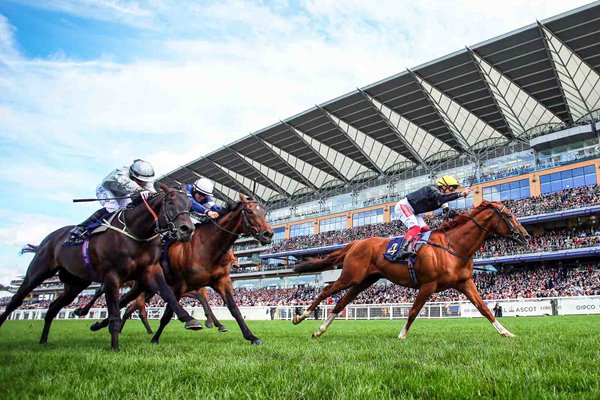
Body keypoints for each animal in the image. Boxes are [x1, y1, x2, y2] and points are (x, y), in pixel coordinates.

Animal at [0, 184, 202, 350]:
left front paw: (190, 319)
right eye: (170, 202)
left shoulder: (151, 271)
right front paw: (115, 347)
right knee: (15, 302)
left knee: (52, 307)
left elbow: (168, 294)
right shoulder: (112, 277)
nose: (187, 229)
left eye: (189, 206)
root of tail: (50, 238)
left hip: (75, 284)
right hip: (38, 272)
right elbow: (114, 312)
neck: (136, 233)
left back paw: (43, 341)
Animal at [91, 194, 274, 344]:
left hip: (145, 287)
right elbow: (167, 315)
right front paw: (156, 339)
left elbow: (234, 309)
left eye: (265, 213)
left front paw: (251, 336)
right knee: (124, 303)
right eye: (249, 212)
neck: (207, 247)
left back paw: (101, 325)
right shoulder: (180, 285)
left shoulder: (220, 281)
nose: (268, 234)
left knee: (126, 304)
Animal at [290, 202, 528, 340]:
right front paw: (402, 335)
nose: (525, 236)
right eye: (508, 215)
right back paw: (300, 316)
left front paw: (506, 332)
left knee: (340, 303)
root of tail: (356, 243)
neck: (452, 246)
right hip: (351, 276)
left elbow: (485, 309)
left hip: (363, 281)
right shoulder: (428, 285)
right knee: (325, 292)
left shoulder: (465, 283)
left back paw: (319, 330)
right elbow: (413, 311)